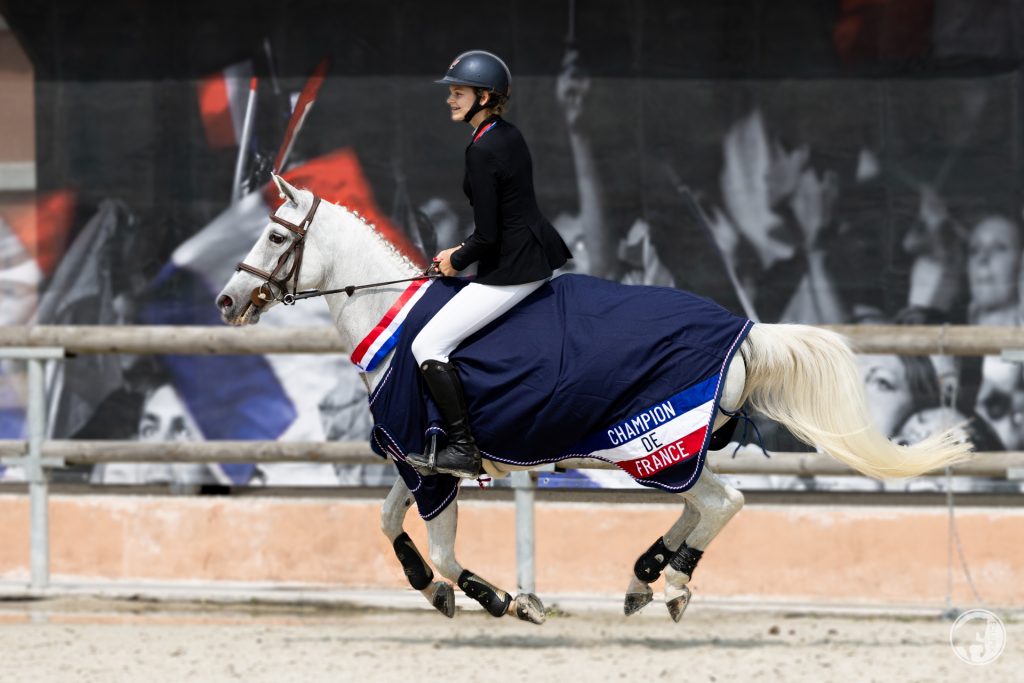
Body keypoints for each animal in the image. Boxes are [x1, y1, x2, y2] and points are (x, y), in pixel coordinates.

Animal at [218, 176, 974, 626]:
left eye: (277, 235)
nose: (226, 301)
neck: (392, 325)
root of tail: (746, 330)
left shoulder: (432, 466)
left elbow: (442, 549)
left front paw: (500, 598)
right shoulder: (416, 461)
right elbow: (385, 522)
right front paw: (436, 591)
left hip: (655, 444)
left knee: (721, 503)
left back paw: (671, 583)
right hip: (667, 450)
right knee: (699, 508)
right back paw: (648, 574)